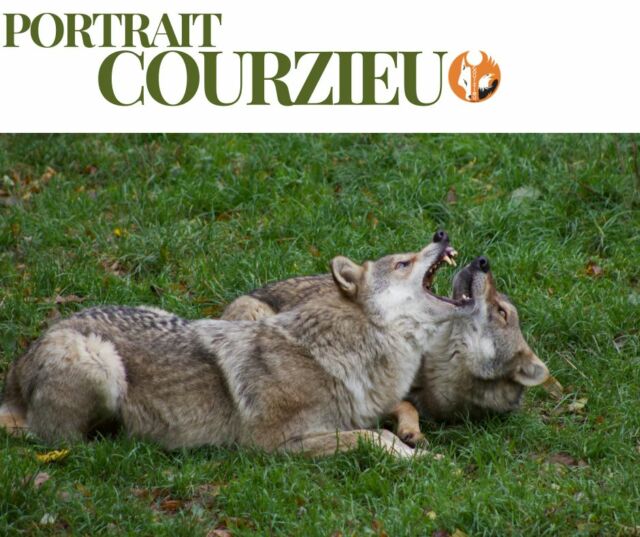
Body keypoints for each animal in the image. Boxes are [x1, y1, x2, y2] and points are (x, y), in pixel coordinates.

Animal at [1, 231, 467, 457]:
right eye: (403, 262)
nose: (442, 235)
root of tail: (20, 362)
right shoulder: (273, 445)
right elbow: (374, 439)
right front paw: (420, 458)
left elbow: (391, 421)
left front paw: (417, 445)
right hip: (100, 363)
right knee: (55, 439)